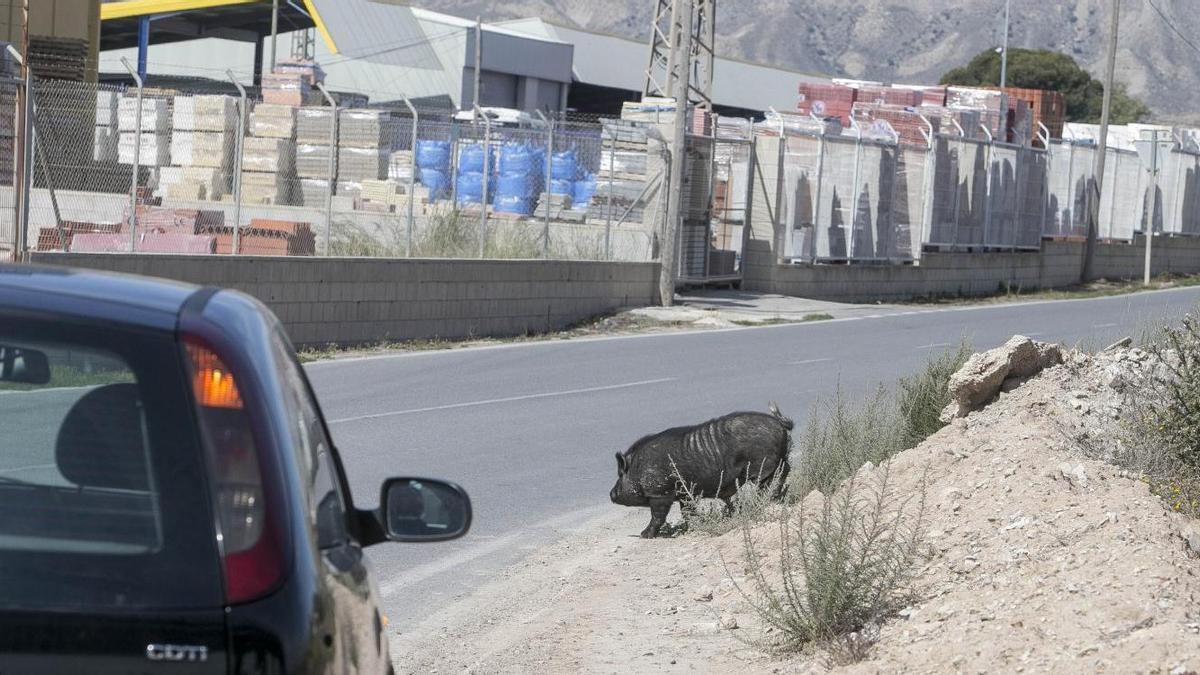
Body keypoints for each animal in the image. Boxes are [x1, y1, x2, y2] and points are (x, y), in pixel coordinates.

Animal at [609, 398, 796, 535]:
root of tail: (779, 423)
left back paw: (765, 499)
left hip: (762, 465)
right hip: (778, 459)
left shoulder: (660, 494)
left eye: (620, 475)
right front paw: (693, 526)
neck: (637, 467)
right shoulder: (684, 494)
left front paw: (644, 535)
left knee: (771, 478)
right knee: (785, 469)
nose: (611, 494)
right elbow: (687, 511)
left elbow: (658, 516)